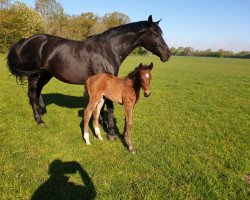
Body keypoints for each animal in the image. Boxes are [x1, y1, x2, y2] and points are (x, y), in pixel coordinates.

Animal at [6, 15, 170, 139]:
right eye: (155, 34)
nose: (167, 54)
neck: (108, 49)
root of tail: (26, 40)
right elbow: (110, 107)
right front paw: (111, 132)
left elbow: (101, 106)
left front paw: (102, 124)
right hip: (34, 75)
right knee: (32, 95)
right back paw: (39, 120)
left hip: (46, 74)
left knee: (38, 91)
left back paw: (42, 110)